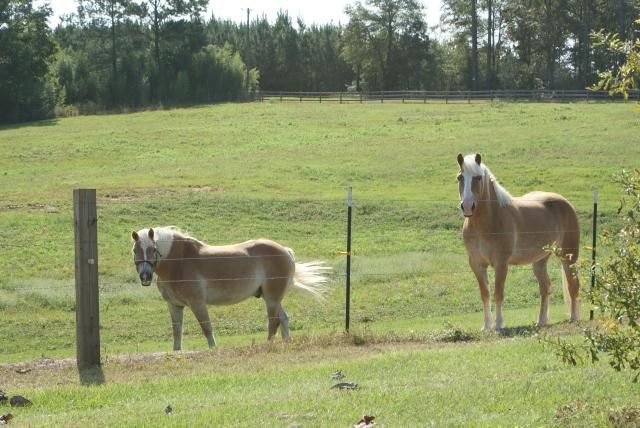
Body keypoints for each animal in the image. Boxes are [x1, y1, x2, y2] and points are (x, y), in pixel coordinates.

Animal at [131, 226, 331, 350]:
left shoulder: (197, 303)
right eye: (135, 250)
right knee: (283, 319)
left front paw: (213, 349)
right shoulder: (174, 305)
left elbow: (206, 327)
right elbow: (177, 331)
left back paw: (268, 345)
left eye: (153, 249)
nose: (145, 277)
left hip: (272, 299)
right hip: (271, 297)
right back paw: (286, 342)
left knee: (274, 321)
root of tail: (285, 251)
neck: (179, 262)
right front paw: (176, 352)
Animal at [456, 153, 580, 330]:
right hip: (540, 261)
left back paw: (573, 317)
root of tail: (566, 202)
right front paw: (486, 326)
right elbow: (485, 294)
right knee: (545, 287)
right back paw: (541, 321)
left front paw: (498, 324)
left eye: (478, 178)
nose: (467, 206)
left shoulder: (501, 263)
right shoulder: (477, 264)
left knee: (573, 285)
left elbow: (498, 293)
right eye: (460, 177)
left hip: (568, 255)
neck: (487, 222)